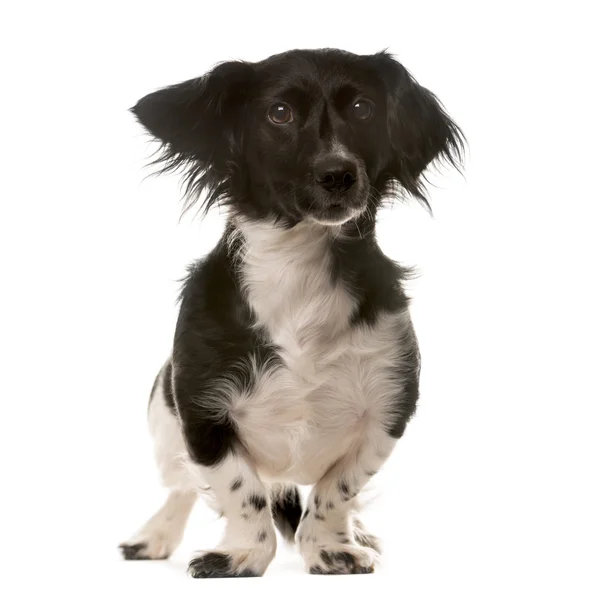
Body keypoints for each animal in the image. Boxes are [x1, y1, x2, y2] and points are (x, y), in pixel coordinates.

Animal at [119, 49, 462, 580]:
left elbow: (337, 490)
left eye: (363, 108)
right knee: (181, 486)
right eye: (279, 114)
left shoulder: (388, 411)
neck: (299, 267)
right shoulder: (201, 414)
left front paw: (331, 548)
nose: (338, 173)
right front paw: (242, 555)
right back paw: (154, 537)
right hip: (162, 413)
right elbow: (240, 489)